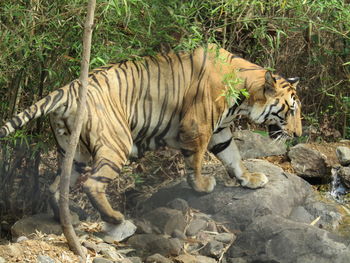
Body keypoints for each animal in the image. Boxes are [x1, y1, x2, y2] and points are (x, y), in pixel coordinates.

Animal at [0, 44, 300, 226]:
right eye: (292, 110)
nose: (298, 135)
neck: (245, 97)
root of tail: (68, 88)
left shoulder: (220, 129)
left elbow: (233, 156)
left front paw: (250, 179)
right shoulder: (198, 126)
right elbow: (196, 161)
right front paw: (202, 186)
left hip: (73, 152)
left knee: (55, 187)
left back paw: (66, 219)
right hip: (115, 143)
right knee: (93, 184)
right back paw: (115, 218)